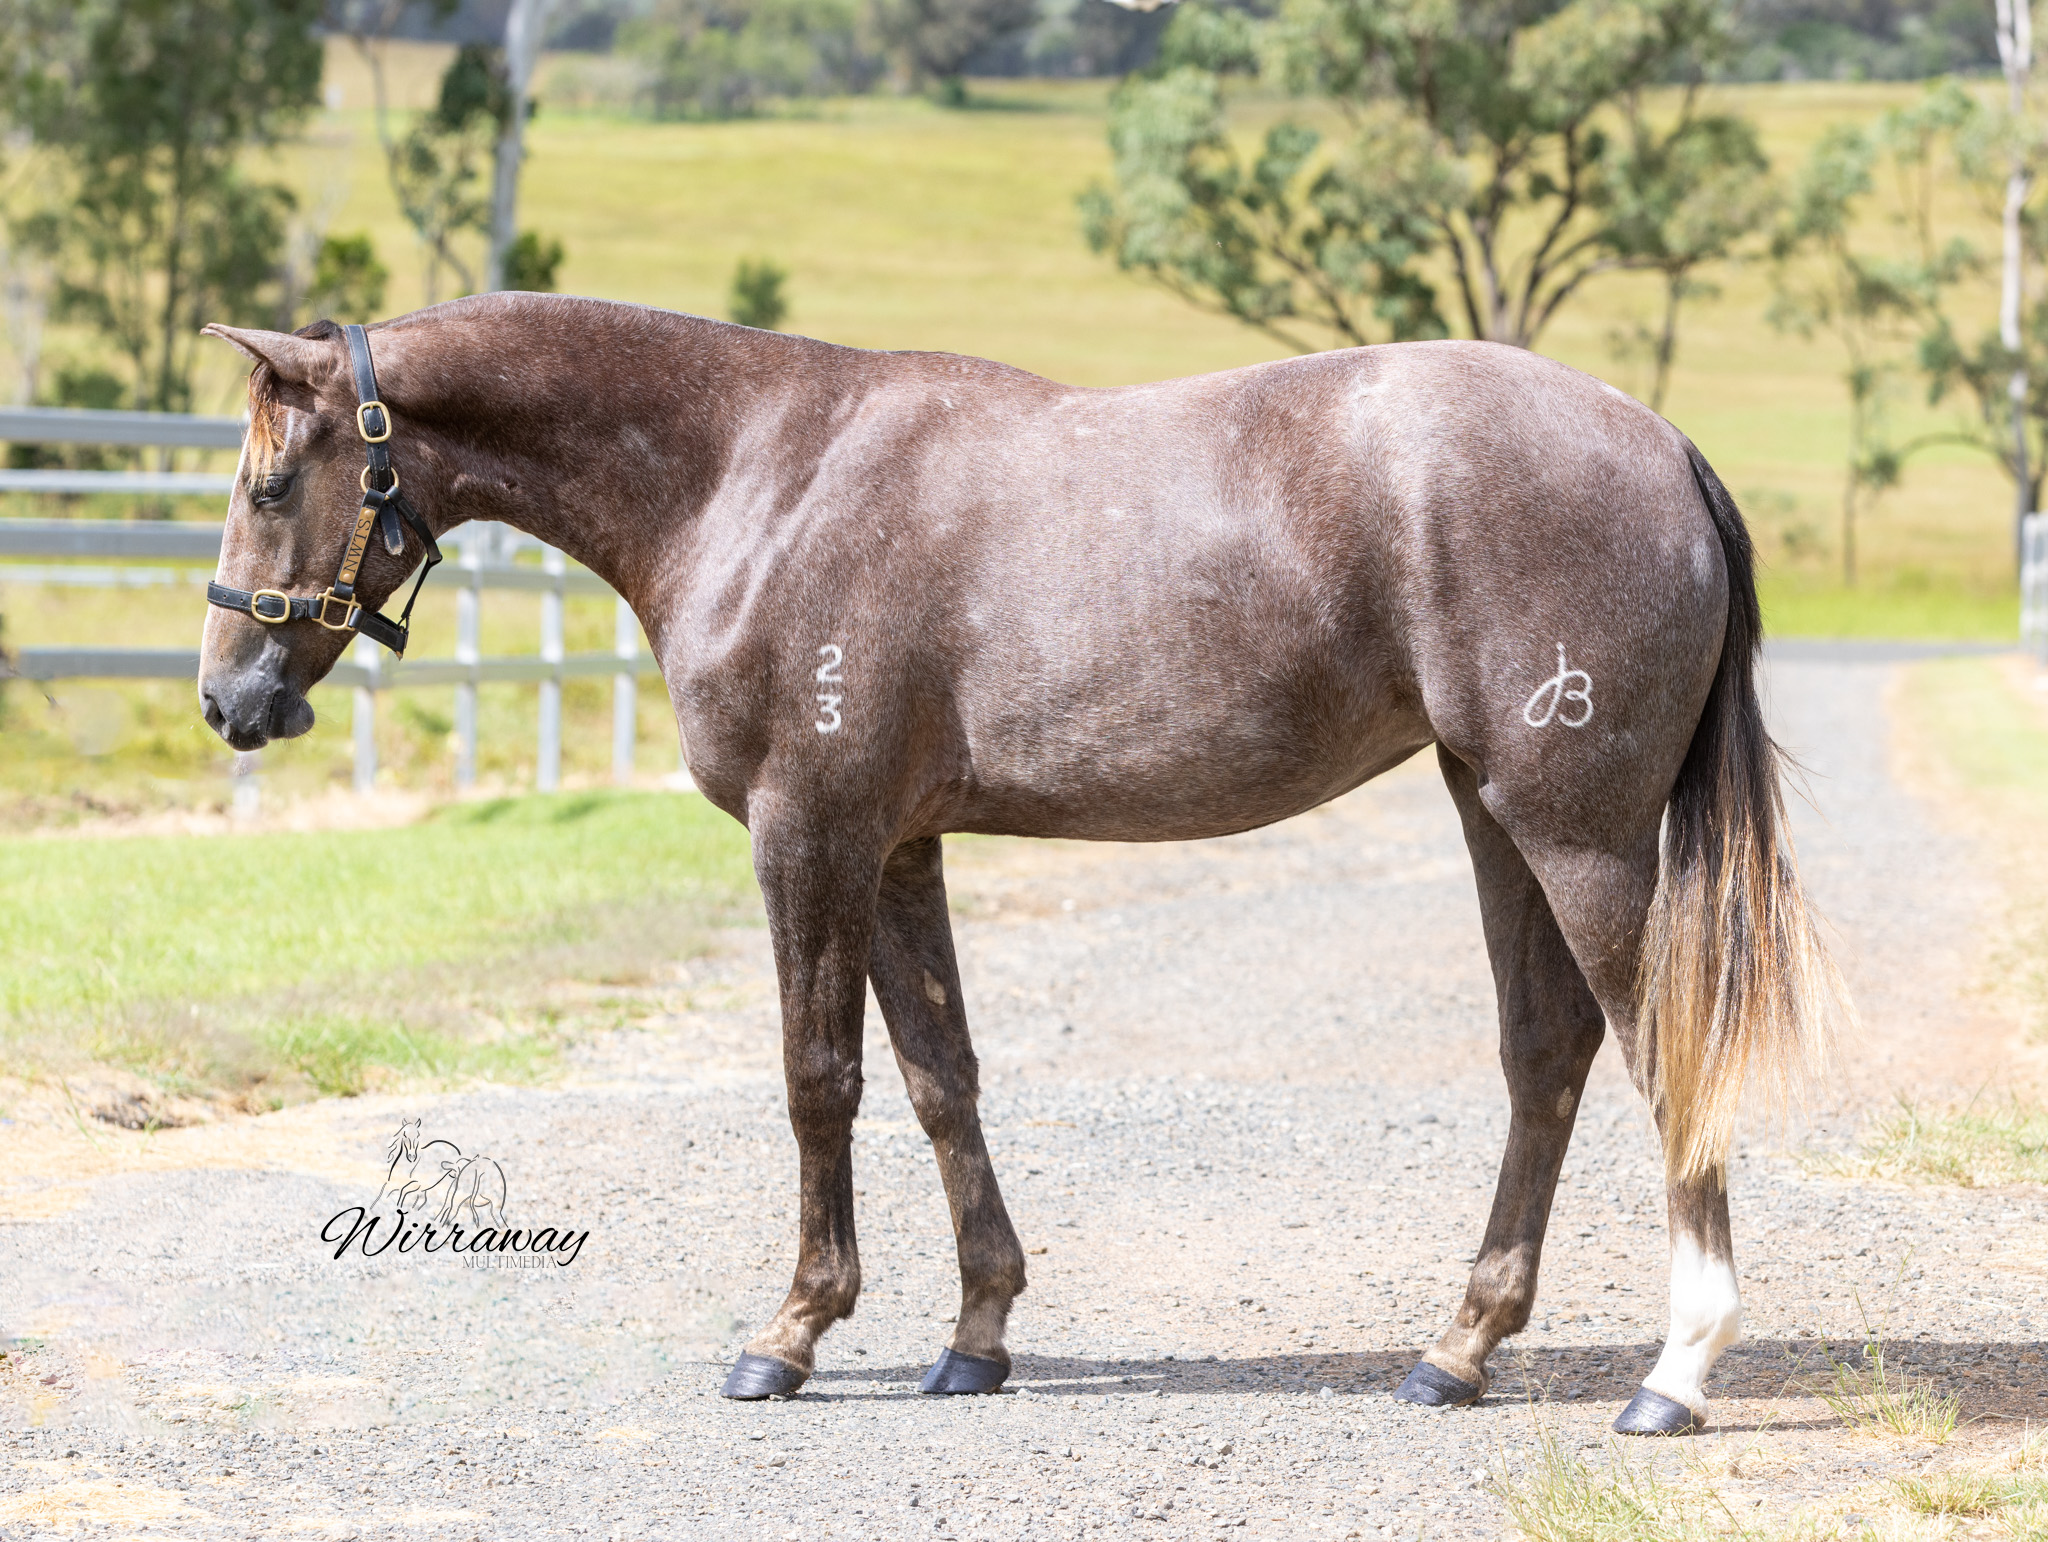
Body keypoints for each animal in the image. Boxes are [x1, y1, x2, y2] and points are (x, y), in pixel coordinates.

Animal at [196, 293, 1841, 1434]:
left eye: (274, 485)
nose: (228, 700)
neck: (757, 480)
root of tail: (1663, 447)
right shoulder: (899, 847)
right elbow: (942, 1078)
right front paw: (973, 1337)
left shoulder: (811, 831)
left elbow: (818, 1078)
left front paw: (788, 1337)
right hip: (1495, 812)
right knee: (1545, 1053)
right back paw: (1457, 1350)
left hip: (1574, 833)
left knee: (1657, 1048)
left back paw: (1675, 1373)